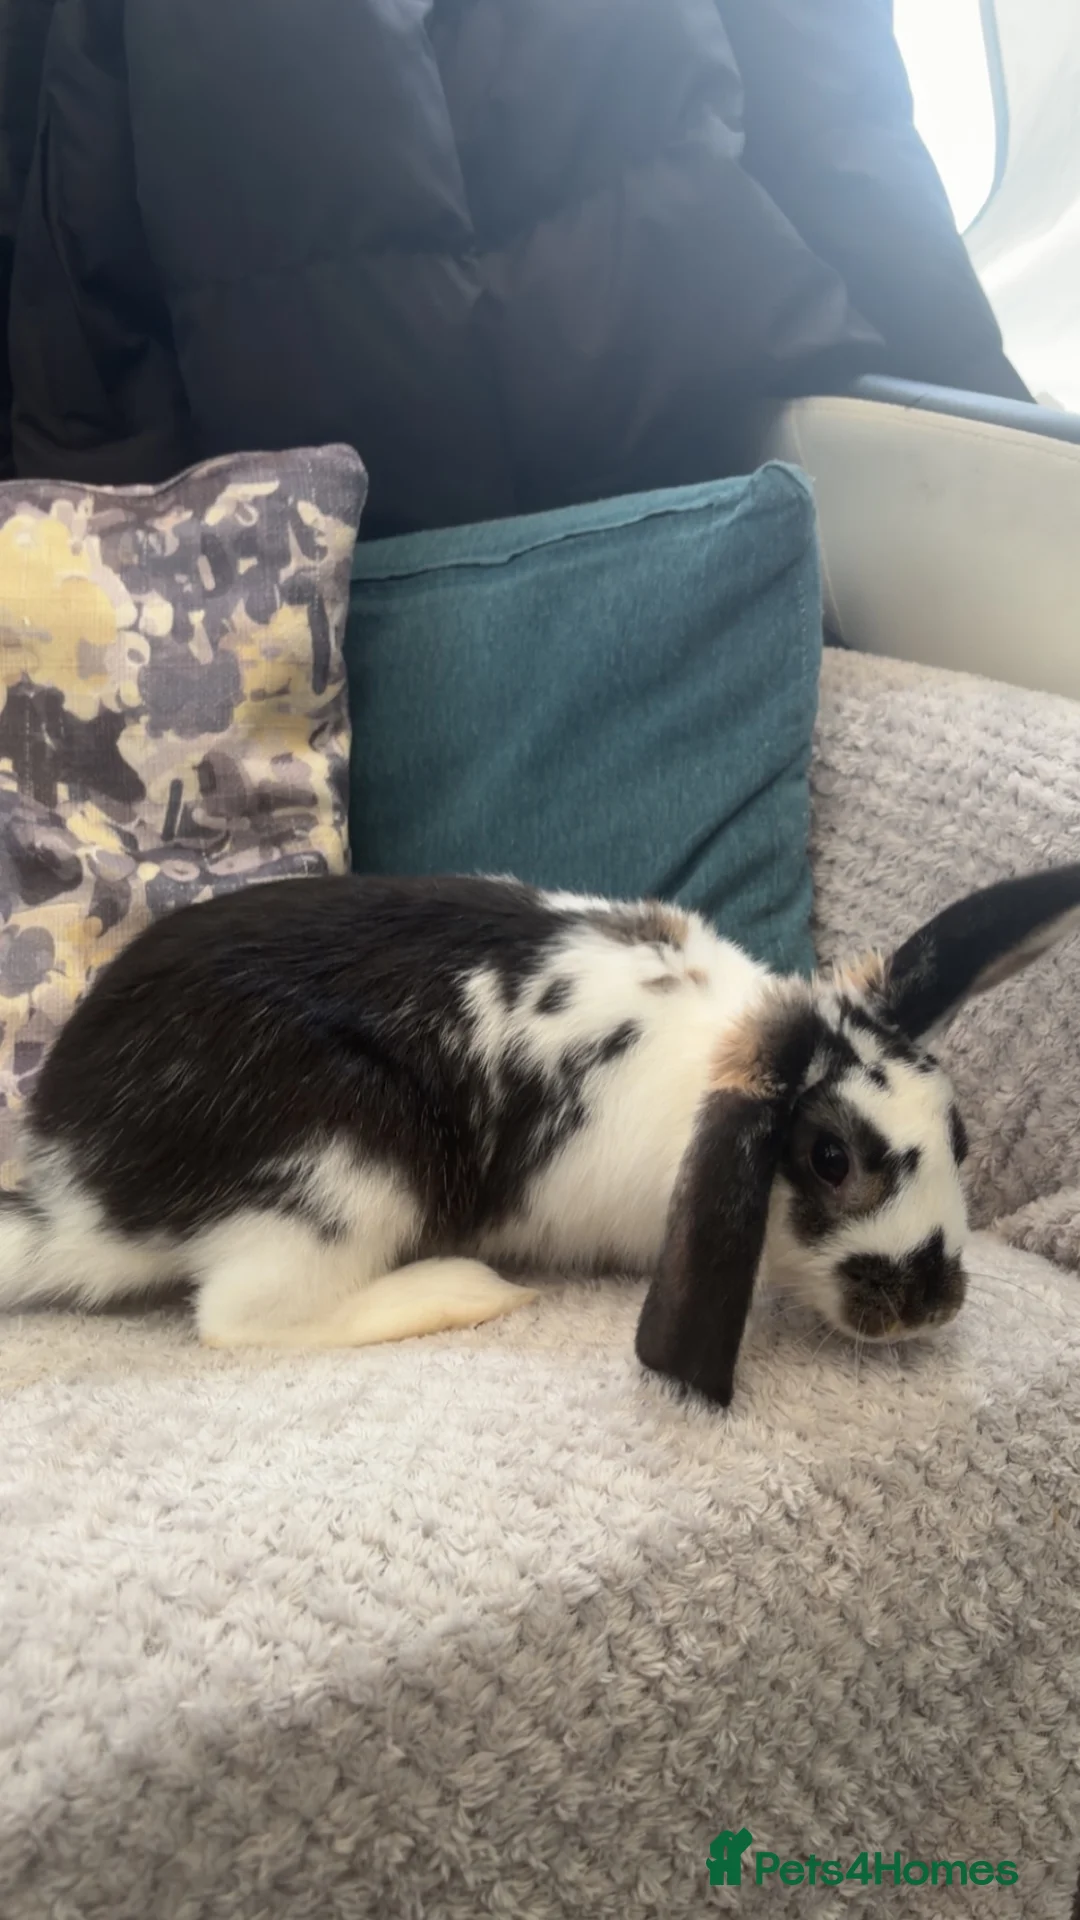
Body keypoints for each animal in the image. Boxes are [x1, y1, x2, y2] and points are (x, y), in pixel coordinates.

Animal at [1, 863, 1078, 1406]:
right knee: (239, 1317)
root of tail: (71, 1191)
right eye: (830, 1158)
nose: (929, 1307)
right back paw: (466, 1291)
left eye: (960, 1136)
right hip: (344, 1171)